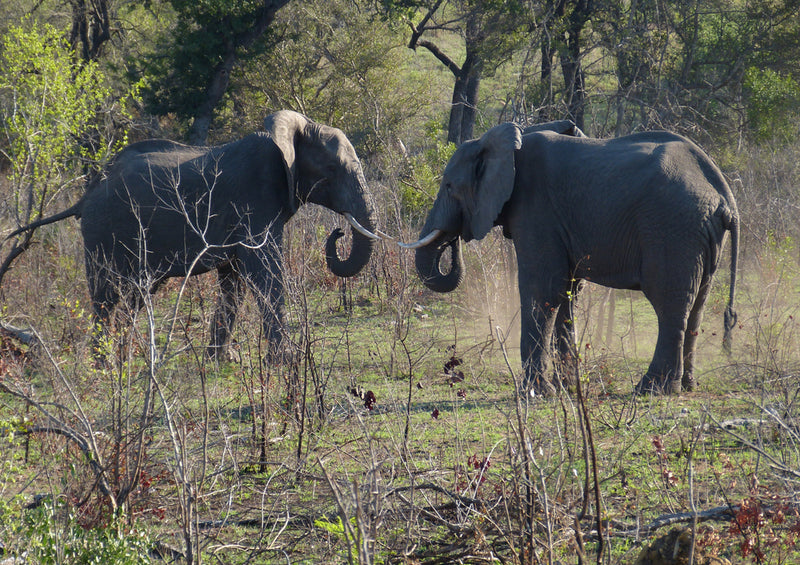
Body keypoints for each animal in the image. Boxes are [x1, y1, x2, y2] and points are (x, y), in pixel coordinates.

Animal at [6, 108, 382, 360]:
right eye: (332, 169)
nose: (339, 231)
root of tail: (88, 193)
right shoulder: (254, 199)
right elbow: (264, 270)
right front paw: (286, 360)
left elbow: (234, 280)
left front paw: (221, 360)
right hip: (103, 233)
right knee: (105, 295)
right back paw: (105, 366)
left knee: (134, 296)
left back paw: (127, 358)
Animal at [404, 121, 740, 394]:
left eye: (449, 186)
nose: (455, 240)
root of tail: (723, 194)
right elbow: (567, 292)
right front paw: (566, 387)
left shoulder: (536, 208)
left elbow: (542, 289)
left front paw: (535, 393)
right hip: (699, 234)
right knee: (698, 303)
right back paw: (688, 385)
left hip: (672, 227)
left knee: (670, 304)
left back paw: (652, 389)